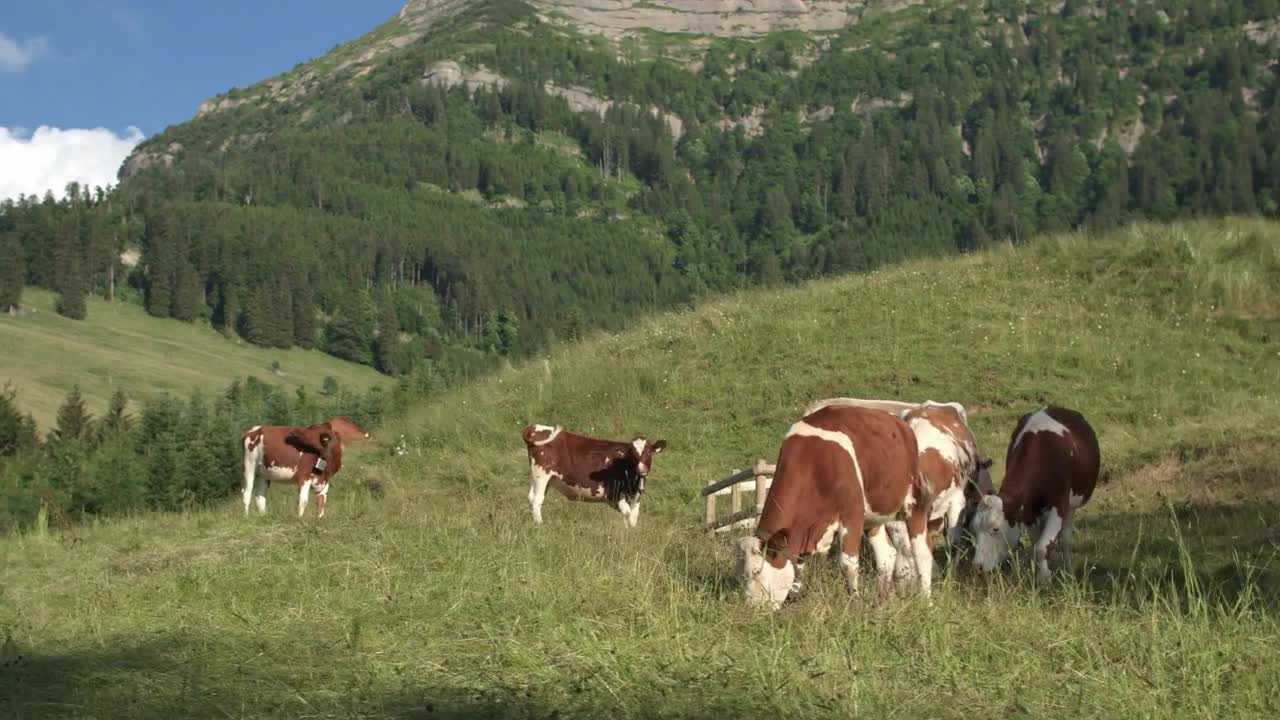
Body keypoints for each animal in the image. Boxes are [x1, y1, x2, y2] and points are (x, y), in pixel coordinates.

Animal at [522, 420, 670, 527]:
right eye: (632, 454)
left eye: (649, 452)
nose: (641, 468)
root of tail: (535, 427)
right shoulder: (614, 494)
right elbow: (627, 514)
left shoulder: (636, 497)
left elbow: (633, 518)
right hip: (541, 475)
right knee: (537, 500)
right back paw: (540, 525)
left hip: (542, 479)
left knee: (531, 497)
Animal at [737, 404, 936, 604]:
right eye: (742, 575)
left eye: (757, 571)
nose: (751, 607)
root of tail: (901, 424)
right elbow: (798, 568)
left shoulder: (852, 513)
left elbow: (848, 564)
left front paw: (855, 601)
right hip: (873, 516)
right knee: (886, 554)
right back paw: (882, 600)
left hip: (915, 502)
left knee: (922, 552)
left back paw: (926, 600)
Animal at [967, 404, 1100, 584]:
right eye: (974, 529)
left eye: (995, 528)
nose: (977, 567)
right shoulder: (1028, 511)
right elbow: (1037, 543)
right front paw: (1040, 574)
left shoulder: (1060, 504)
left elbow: (1042, 547)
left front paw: (1045, 579)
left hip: (1072, 505)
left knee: (1066, 539)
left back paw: (1069, 571)